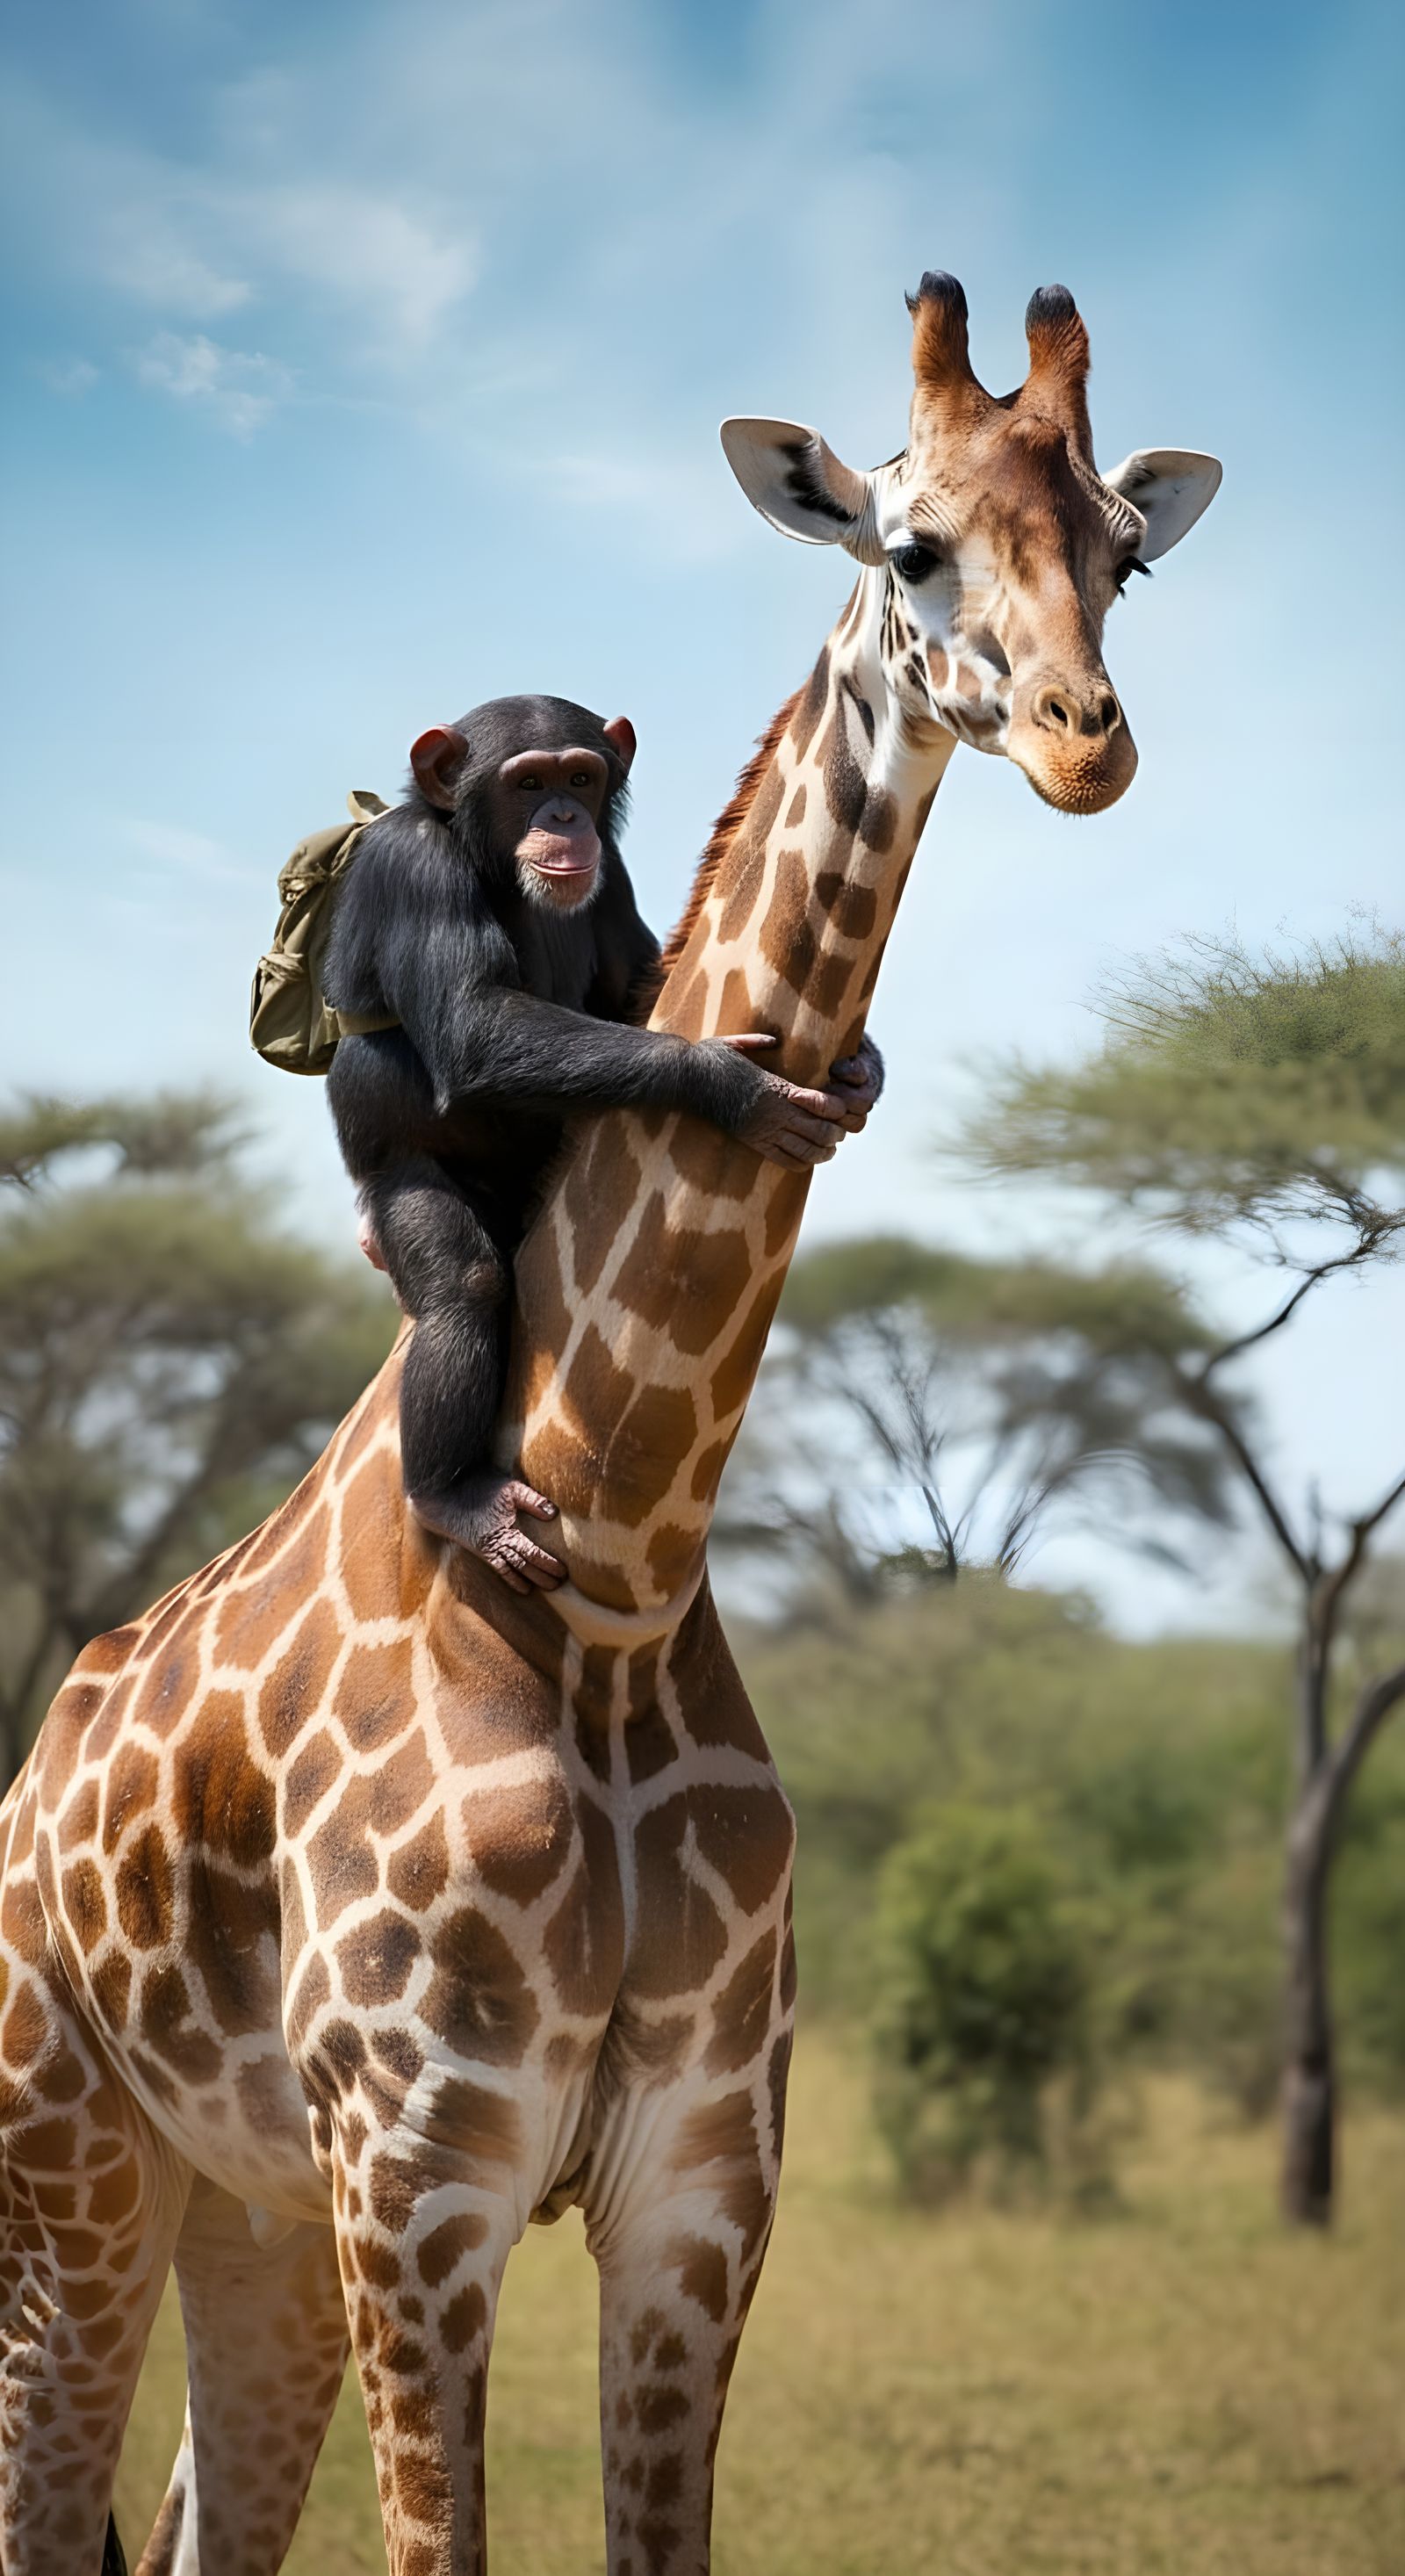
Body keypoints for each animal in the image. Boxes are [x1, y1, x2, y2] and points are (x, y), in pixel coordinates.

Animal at [322, 693, 881, 1592]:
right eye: (528, 782)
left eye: (580, 778)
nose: (562, 816)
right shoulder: (413, 869)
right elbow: (477, 1022)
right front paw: (723, 1081)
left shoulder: (610, 873)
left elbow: (635, 984)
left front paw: (866, 1067)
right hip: (394, 1182)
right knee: (462, 1282)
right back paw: (452, 1496)